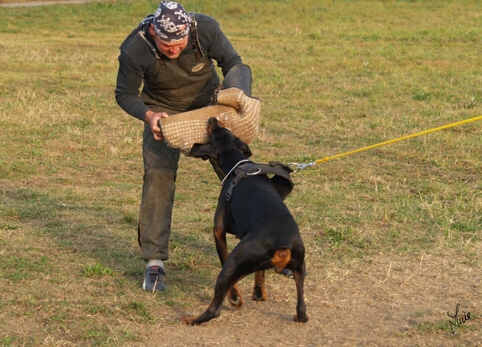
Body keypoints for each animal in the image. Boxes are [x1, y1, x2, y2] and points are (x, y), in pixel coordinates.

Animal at [181, 117, 308, 326]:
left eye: (213, 128)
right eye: (223, 127)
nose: (213, 118)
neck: (238, 165)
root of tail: (282, 244)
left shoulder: (219, 232)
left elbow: (225, 263)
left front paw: (235, 297)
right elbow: (260, 274)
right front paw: (258, 292)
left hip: (235, 261)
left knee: (214, 309)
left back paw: (191, 319)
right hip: (300, 268)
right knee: (302, 310)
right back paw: (297, 314)